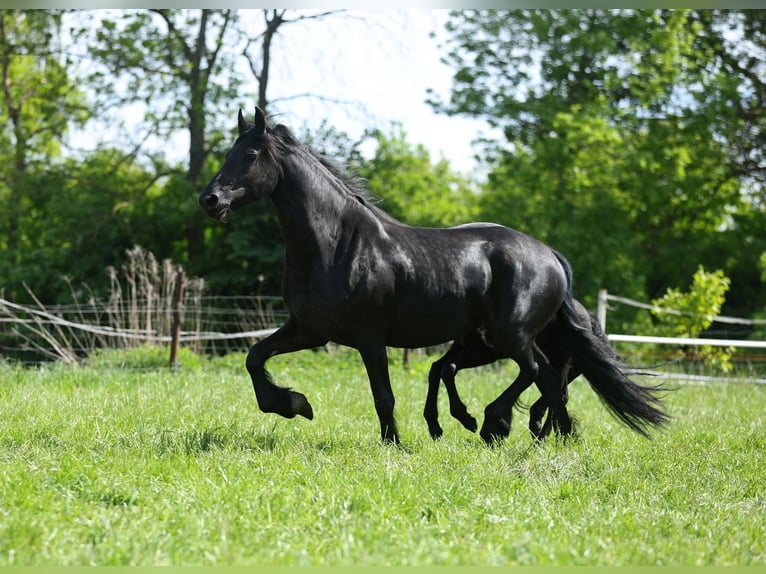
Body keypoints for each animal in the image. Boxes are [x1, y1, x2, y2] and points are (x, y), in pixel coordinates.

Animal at [201, 110, 668, 448]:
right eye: (228, 153)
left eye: (252, 155)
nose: (211, 199)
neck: (335, 244)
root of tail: (550, 255)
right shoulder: (309, 330)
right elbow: (255, 358)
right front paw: (292, 404)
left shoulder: (369, 338)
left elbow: (384, 396)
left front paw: (394, 444)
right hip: (501, 339)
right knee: (549, 380)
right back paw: (547, 437)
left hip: (510, 335)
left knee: (540, 373)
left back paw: (496, 425)